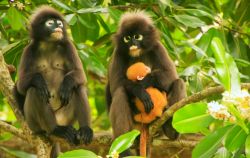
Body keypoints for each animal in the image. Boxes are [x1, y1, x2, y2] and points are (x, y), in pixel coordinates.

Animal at [12, 5, 93, 147]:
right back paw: (56, 130)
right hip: (35, 124)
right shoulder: (28, 50)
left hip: (66, 116)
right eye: (50, 23)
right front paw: (39, 81)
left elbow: (80, 75)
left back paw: (85, 130)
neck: (48, 44)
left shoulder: (68, 45)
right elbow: (21, 85)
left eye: (59, 23)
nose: (58, 27)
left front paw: (66, 84)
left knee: (78, 87)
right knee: (34, 91)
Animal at [105, 11, 186, 157]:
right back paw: (123, 148)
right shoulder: (118, 53)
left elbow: (171, 74)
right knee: (120, 92)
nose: (132, 43)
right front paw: (140, 91)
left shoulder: (158, 47)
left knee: (179, 82)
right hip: (134, 124)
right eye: (127, 38)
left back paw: (171, 130)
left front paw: (144, 83)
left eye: (137, 36)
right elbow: (116, 84)